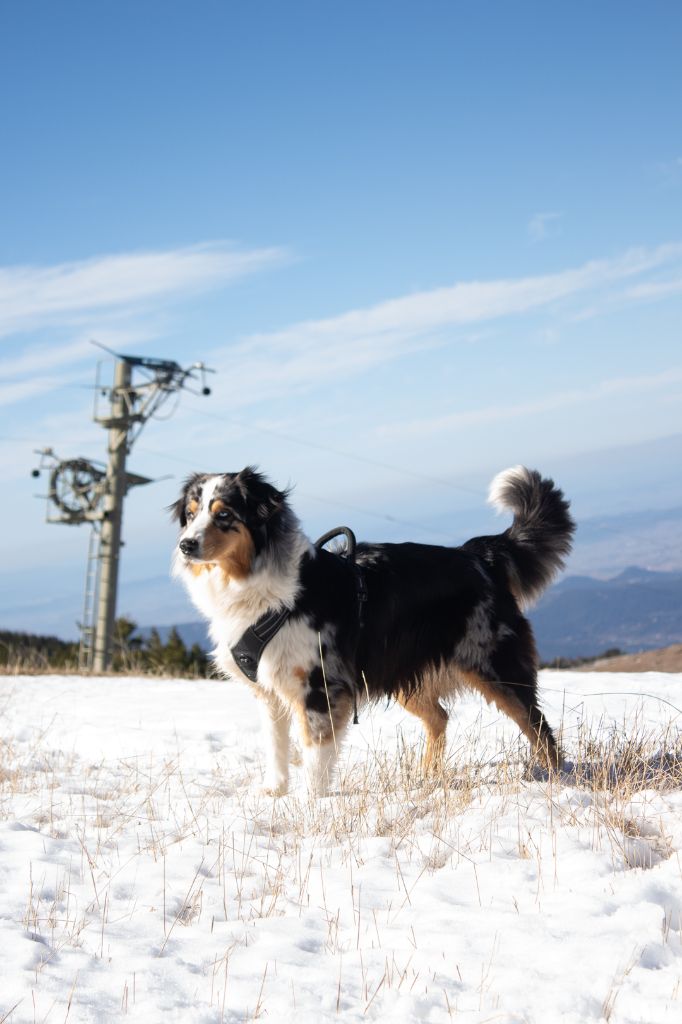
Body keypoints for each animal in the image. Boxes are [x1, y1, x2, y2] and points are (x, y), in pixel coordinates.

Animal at [171, 468, 573, 794]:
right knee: (441, 717)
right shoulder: (268, 691)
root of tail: (478, 555)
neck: (260, 589)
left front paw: (310, 803)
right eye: (190, 515)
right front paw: (275, 792)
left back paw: (556, 779)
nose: (185, 545)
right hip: (403, 671)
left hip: (494, 664)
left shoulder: (319, 686)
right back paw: (427, 776)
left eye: (223, 514)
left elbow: (314, 753)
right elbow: (276, 747)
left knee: (538, 726)